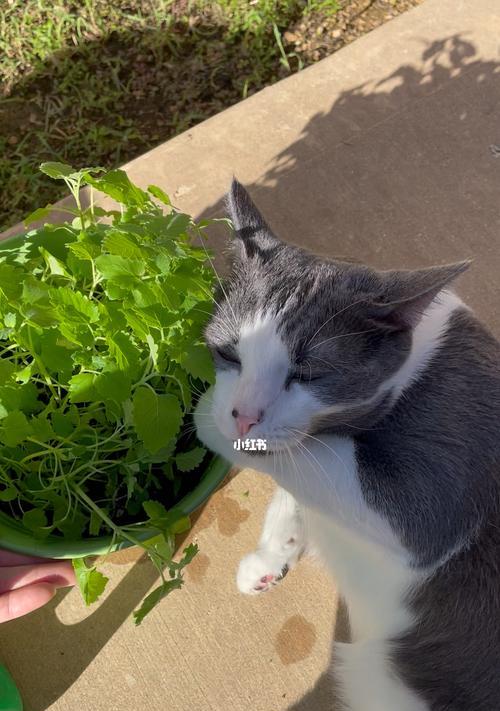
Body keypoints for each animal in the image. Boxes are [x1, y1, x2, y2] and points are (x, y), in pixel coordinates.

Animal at [193, 179, 500, 711]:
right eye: (228, 351)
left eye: (308, 374)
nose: (244, 415)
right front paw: (274, 553)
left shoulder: (439, 483)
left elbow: (313, 464)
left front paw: (205, 418)